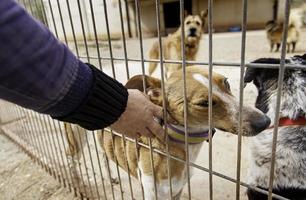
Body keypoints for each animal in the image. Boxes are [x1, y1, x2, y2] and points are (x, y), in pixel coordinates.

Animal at [63, 66, 268, 199]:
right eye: (204, 103)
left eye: (226, 82)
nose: (265, 122)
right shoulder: (152, 193)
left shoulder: (177, 190)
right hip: (76, 139)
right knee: (71, 159)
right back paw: (76, 183)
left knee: (104, 155)